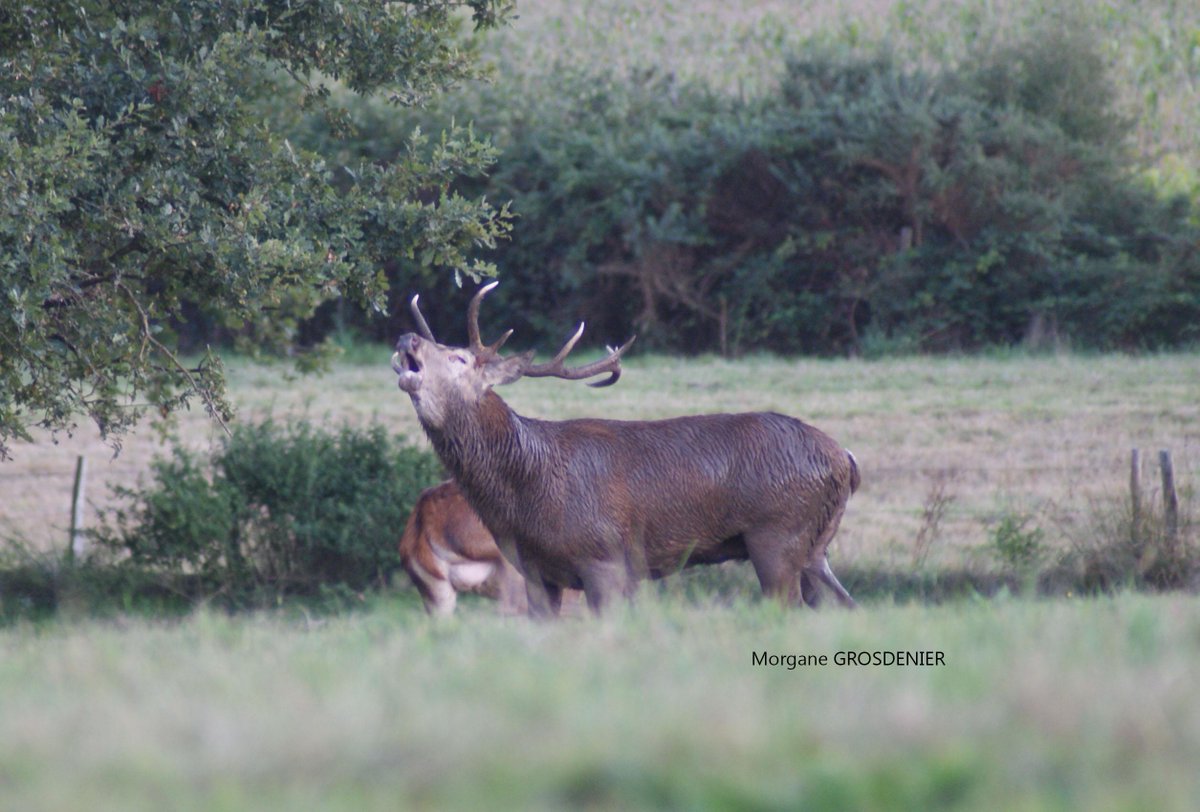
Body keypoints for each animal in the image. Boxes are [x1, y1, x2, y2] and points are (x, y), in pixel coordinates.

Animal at [391, 282, 859, 617]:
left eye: (459, 359)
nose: (407, 337)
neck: (529, 493)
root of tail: (846, 460)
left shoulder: (604, 557)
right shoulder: (536, 572)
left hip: (777, 532)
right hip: (815, 543)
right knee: (845, 605)